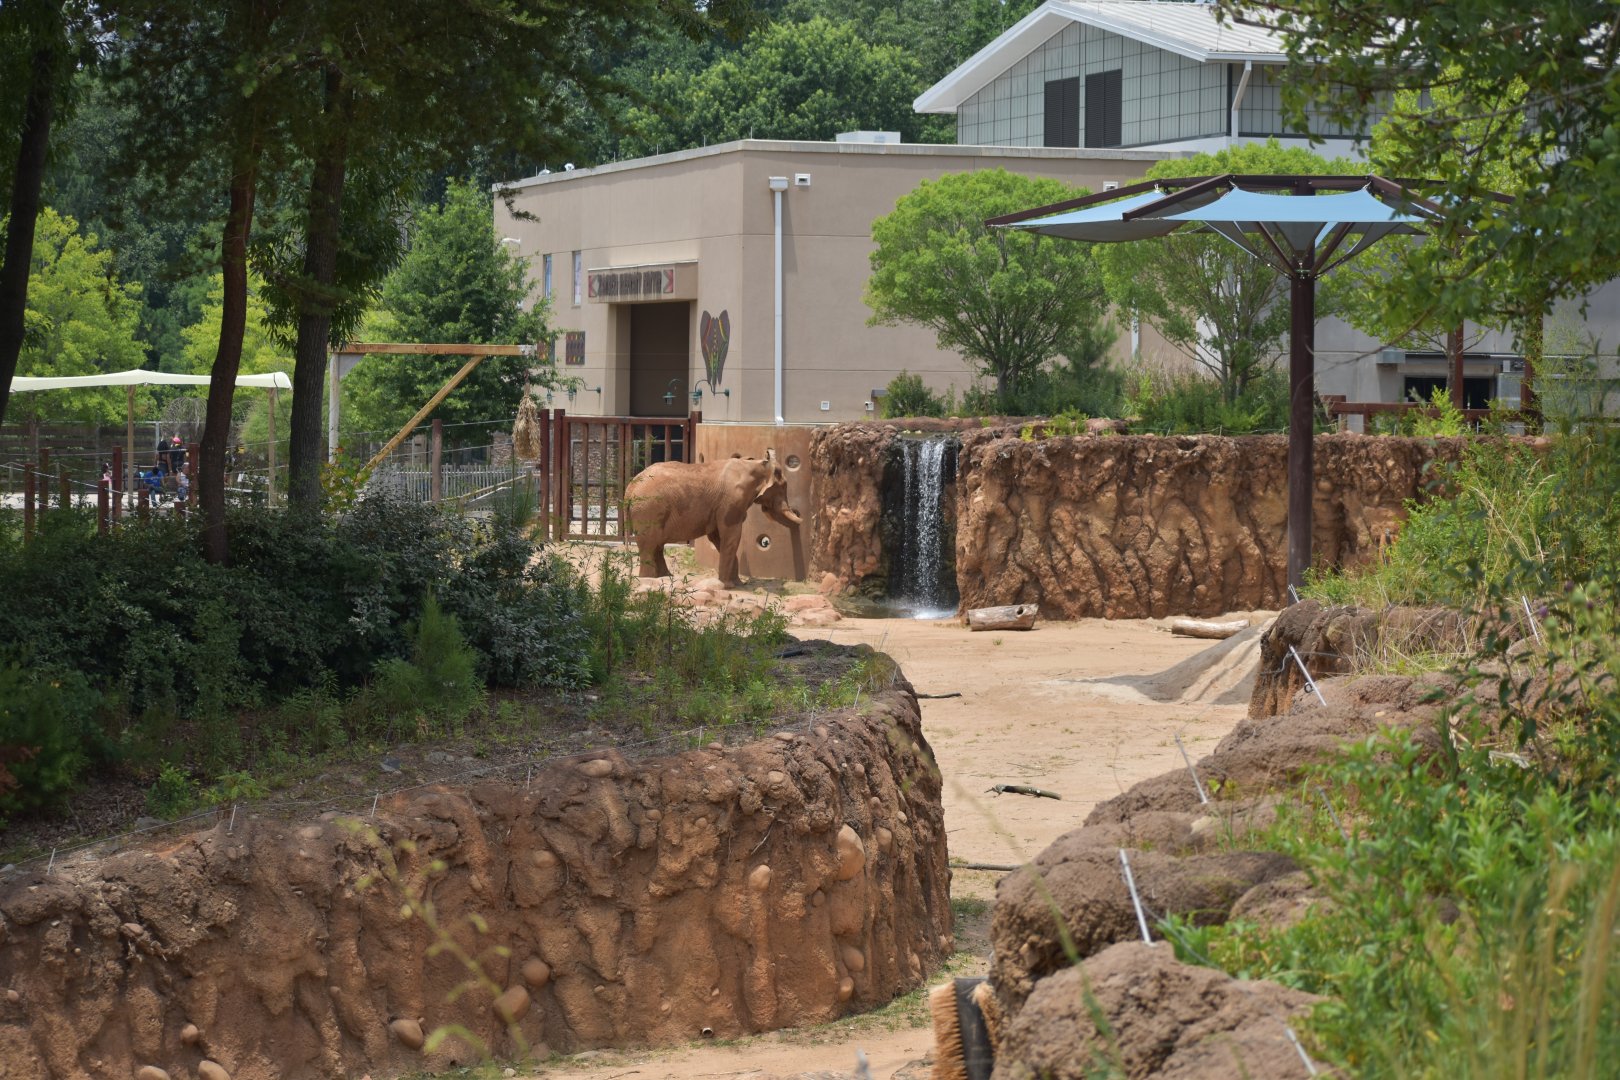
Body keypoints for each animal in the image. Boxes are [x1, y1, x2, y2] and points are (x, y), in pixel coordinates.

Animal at [624, 452, 802, 586]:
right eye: (783, 486)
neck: (755, 464)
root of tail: (630, 487)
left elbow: (717, 537)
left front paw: (736, 584)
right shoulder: (731, 502)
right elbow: (731, 535)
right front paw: (728, 586)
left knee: (657, 545)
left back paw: (665, 577)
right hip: (648, 510)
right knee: (650, 545)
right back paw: (649, 580)